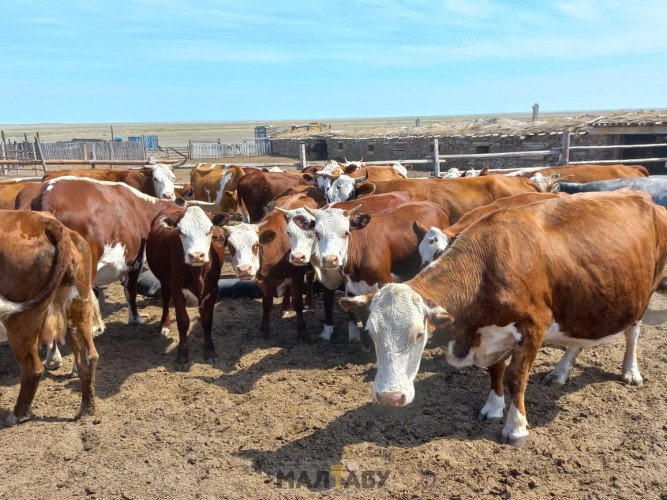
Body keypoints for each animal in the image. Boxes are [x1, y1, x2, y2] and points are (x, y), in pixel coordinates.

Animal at [0, 209, 103, 424]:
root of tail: (48, 223)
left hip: (20, 319)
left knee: (33, 368)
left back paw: (17, 414)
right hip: (79, 304)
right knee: (88, 357)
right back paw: (86, 410)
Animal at [146, 205, 230, 370]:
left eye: (210, 229)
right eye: (180, 231)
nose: (196, 255)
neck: (197, 273)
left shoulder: (213, 290)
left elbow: (207, 320)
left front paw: (210, 352)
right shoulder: (177, 289)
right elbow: (183, 321)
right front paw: (182, 357)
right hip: (164, 281)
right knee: (165, 297)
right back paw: (164, 324)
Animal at [342, 190, 667, 446]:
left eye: (419, 334)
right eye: (372, 333)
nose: (389, 397)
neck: (488, 267)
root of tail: (641, 195)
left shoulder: (534, 327)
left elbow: (515, 377)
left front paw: (516, 427)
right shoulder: (490, 333)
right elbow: (495, 371)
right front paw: (493, 407)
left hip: (646, 289)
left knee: (633, 333)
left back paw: (630, 371)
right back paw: (560, 372)